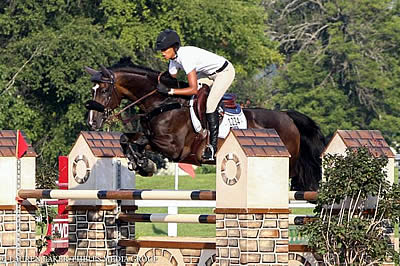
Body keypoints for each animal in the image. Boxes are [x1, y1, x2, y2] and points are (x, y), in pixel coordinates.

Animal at [83, 59, 324, 191]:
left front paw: (145, 163)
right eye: (92, 90)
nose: (92, 122)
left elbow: (142, 141)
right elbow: (127, 139)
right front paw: (141, 164)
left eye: (104, 90)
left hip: (289, 163)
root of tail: (287, 117)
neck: (163, 103)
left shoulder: (173, 147)